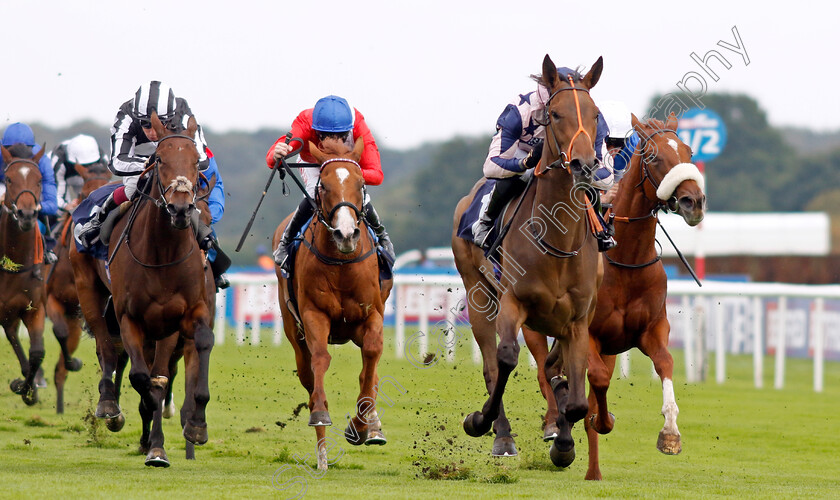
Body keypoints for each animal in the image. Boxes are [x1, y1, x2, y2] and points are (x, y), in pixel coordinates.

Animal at [71, 112, 215, 464]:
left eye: (196, 160)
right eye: (160, 158)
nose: (180, 208)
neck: (162, 253)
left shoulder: (187, 315)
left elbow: (195, 352)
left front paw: (195, 426)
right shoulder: (130, 318)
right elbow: (142, 379)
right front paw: (154, 443)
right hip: (88, 289)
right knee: (108, 349)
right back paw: (109, 405)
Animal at [584, 114, 708, 480]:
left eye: (689, 150)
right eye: (654, 158)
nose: (694, 202)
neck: (626, 259)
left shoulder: (651, 329)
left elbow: (665, 362)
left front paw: (670, 434)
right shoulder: (587, 334)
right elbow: (597, 383)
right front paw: (603, 420)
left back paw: (592, 471)